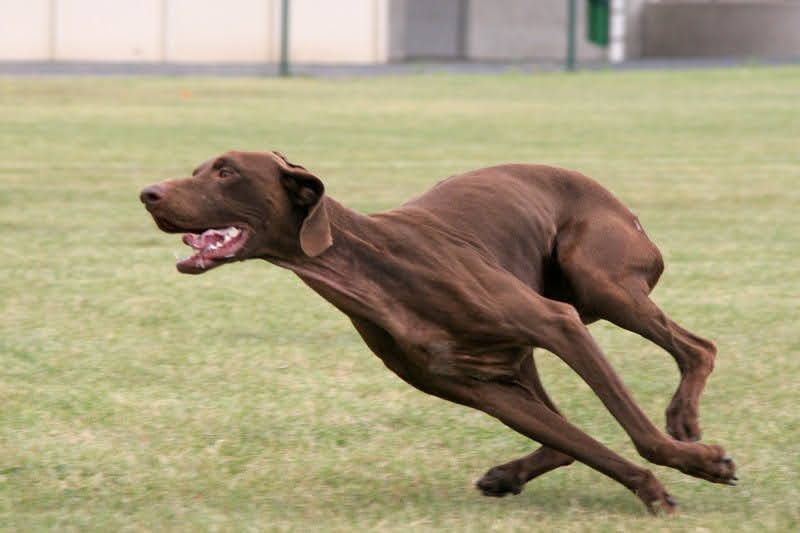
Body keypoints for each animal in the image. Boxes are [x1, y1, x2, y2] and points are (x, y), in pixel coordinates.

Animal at [141, 149, 736, 512]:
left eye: (226, 172)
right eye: (199, 168)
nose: (148, 193)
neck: (373, 268)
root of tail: (622, 204)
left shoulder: (559, 324)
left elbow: (639, 433)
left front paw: (699, 464)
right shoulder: (480, 391)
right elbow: (579, 443)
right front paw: (653, 490)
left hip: (597, 283)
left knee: (698, 347)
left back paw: (683, 419)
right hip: (523, 356)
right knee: (562, 439)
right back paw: (509, 475)